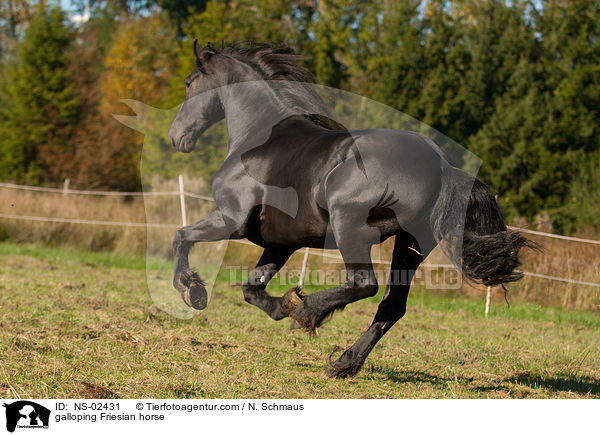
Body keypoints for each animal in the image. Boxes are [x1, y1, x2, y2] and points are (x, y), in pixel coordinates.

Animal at [166, 41, 532, 378]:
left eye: (188, 82)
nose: (175, 137)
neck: (259, 138)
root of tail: (441, 165)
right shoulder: (281, 242)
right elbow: (250, 289)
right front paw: (284, 304)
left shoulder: (231, 220)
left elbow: (181, 237)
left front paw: (192, 291)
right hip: (411, 244)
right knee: (391, 306)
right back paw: (343, 363)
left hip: (349, 228)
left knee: (364, 284)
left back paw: (310, 312)